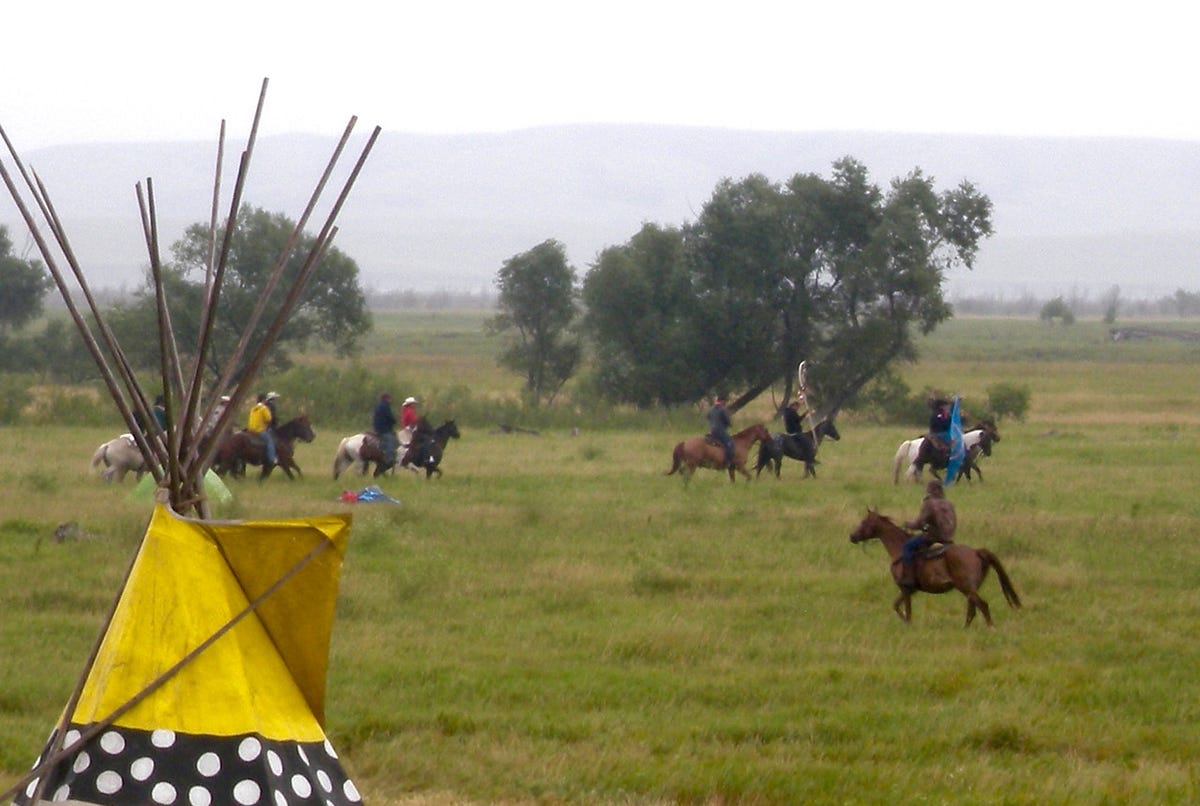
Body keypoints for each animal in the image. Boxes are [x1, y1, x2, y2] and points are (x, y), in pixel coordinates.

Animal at [848, 509, 1021, 627]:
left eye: (864, 522)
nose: (852, 537)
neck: (899, 548)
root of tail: (975, 551)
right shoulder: (911, 590)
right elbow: (897, 606)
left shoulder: (905, 589)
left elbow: (905, 609)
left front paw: (908, 624)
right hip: (970, 590)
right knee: (972, 609)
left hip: (966, 588)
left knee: (982, 606)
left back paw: (990, 628)